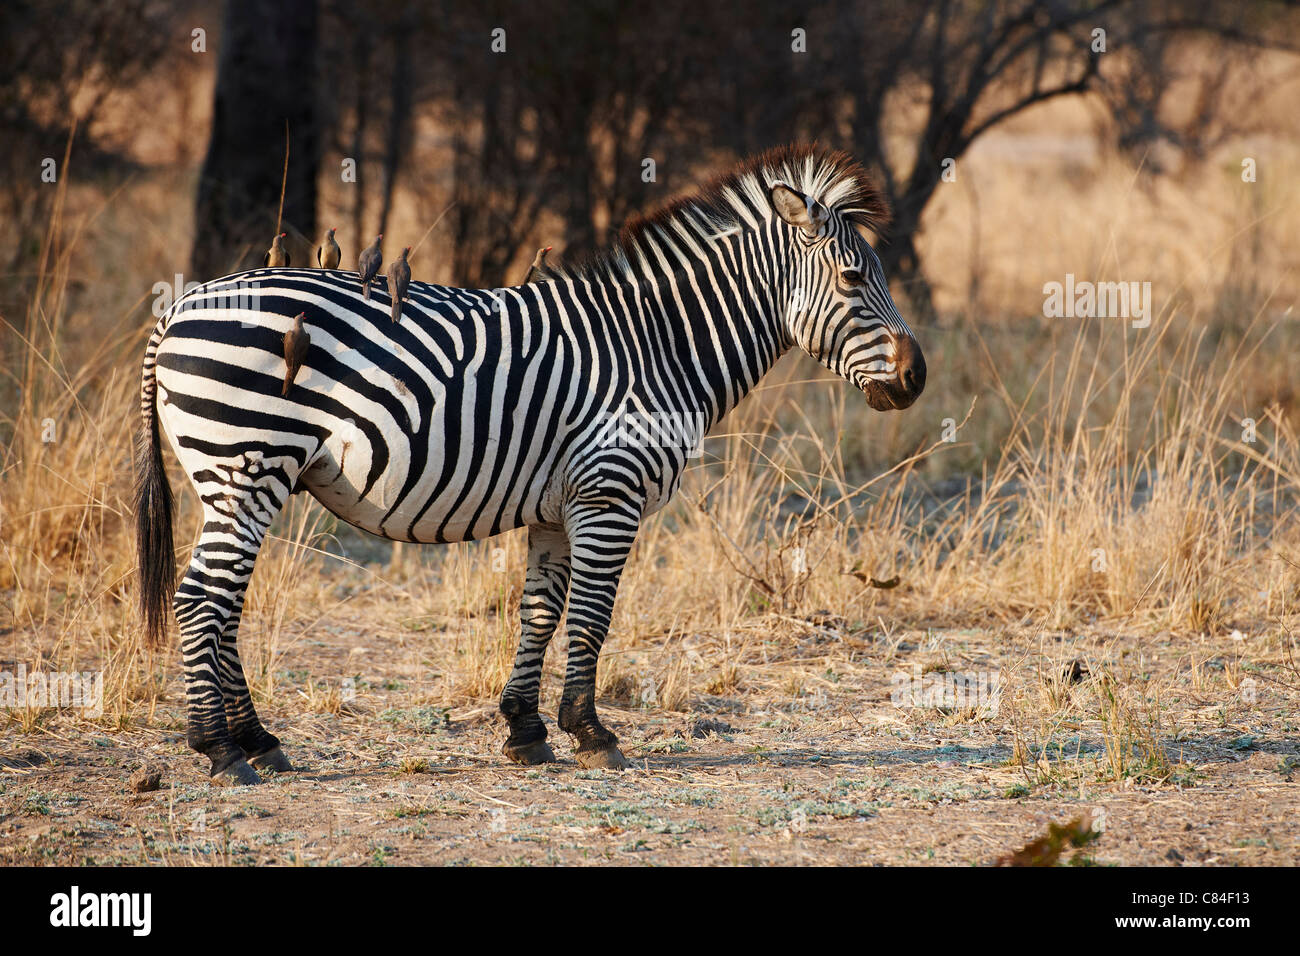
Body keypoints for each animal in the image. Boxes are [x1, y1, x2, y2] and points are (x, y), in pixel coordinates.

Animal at [137, 143, 925, 785]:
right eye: (853, 279)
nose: (917, 378)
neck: (658, 345)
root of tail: (182, 304)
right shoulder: (610, 495)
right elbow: (593, 615)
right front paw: (592, 732)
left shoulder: (559, 506)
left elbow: (541, 611)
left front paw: (525, 730)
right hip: (246, 464)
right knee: (200, 596)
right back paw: (220, 750)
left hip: (233, 480)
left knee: (224, 601)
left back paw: (259, 740)